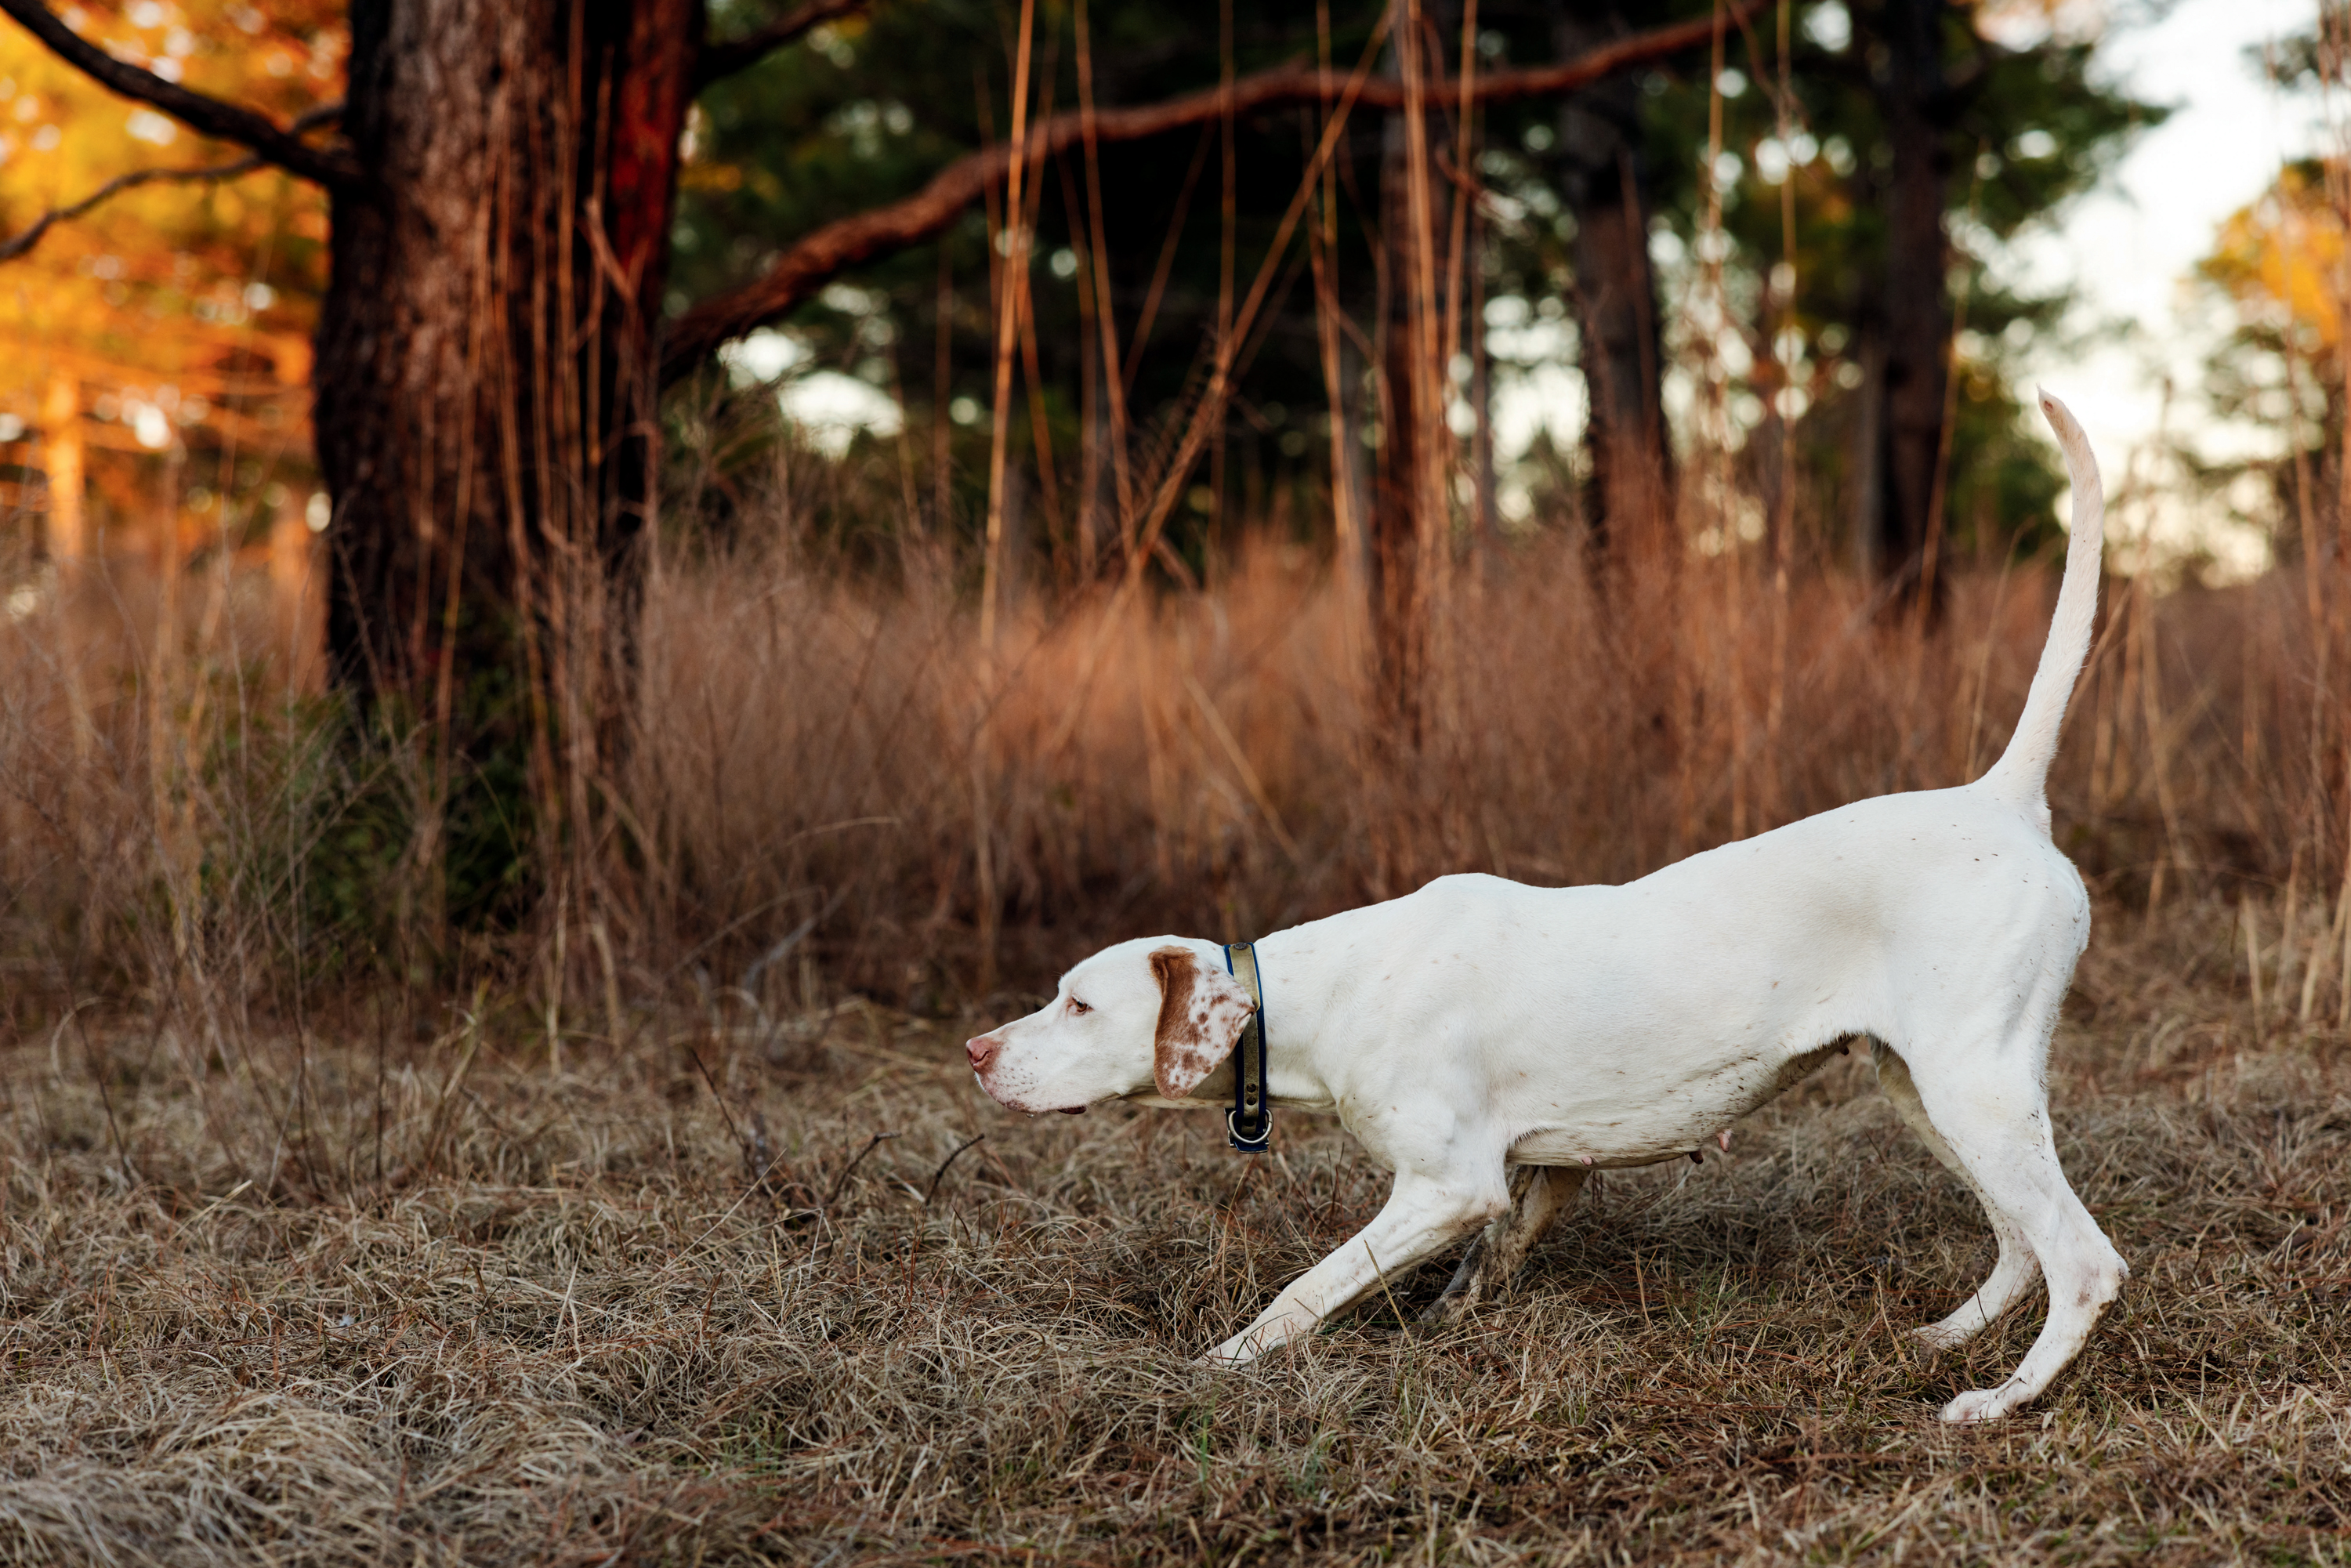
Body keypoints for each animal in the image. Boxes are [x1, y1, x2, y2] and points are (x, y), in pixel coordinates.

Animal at [964, 393, 2125, 1420]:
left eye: (1076, 1004)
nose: (976, 1053)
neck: (1323, 989)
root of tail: (2002, 795)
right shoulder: (1541, 1171)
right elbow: (1489, 1261)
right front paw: (1447, 1324)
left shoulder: (1447, 1184)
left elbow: (1308, 1288)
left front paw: (1221, 1365)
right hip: (1926, 1091)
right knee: (2021, 1245)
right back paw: (1946, 1341)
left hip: (1973, 1089)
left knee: (2083, 1260)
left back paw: (2001, 1401)